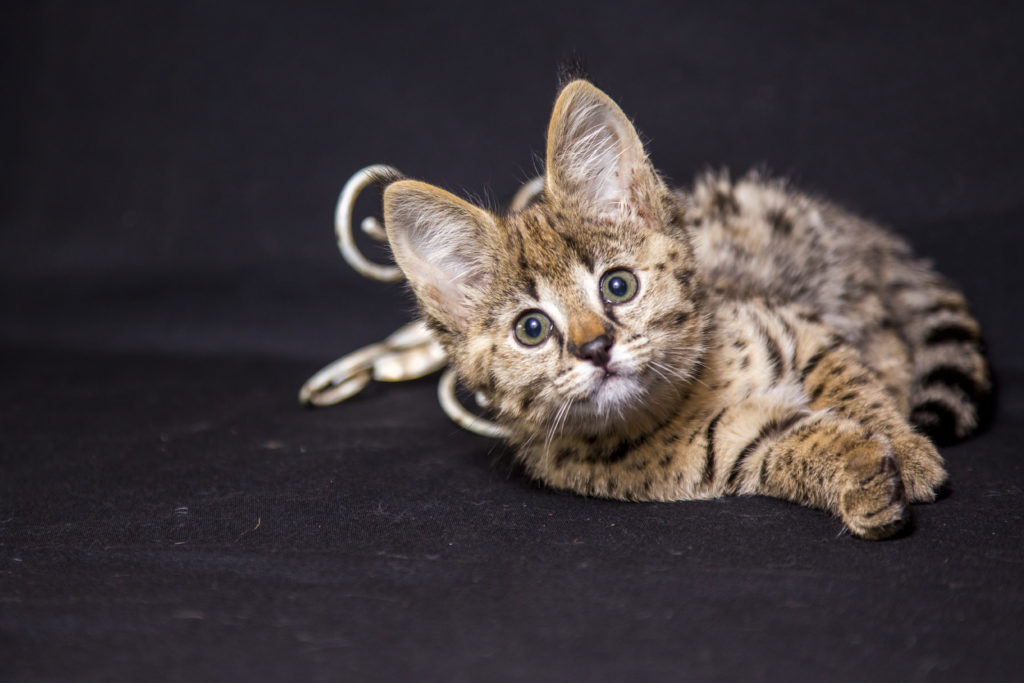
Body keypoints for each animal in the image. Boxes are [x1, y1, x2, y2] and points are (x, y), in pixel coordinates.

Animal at [380, 80, 987, 540]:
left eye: (618, 286)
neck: (689, 393)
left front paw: (905, 450)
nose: (595, 347)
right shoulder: (729, 450)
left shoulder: (804, 332)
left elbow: (852, 387)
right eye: (532, 329)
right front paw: (859, 473)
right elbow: (792, 444)